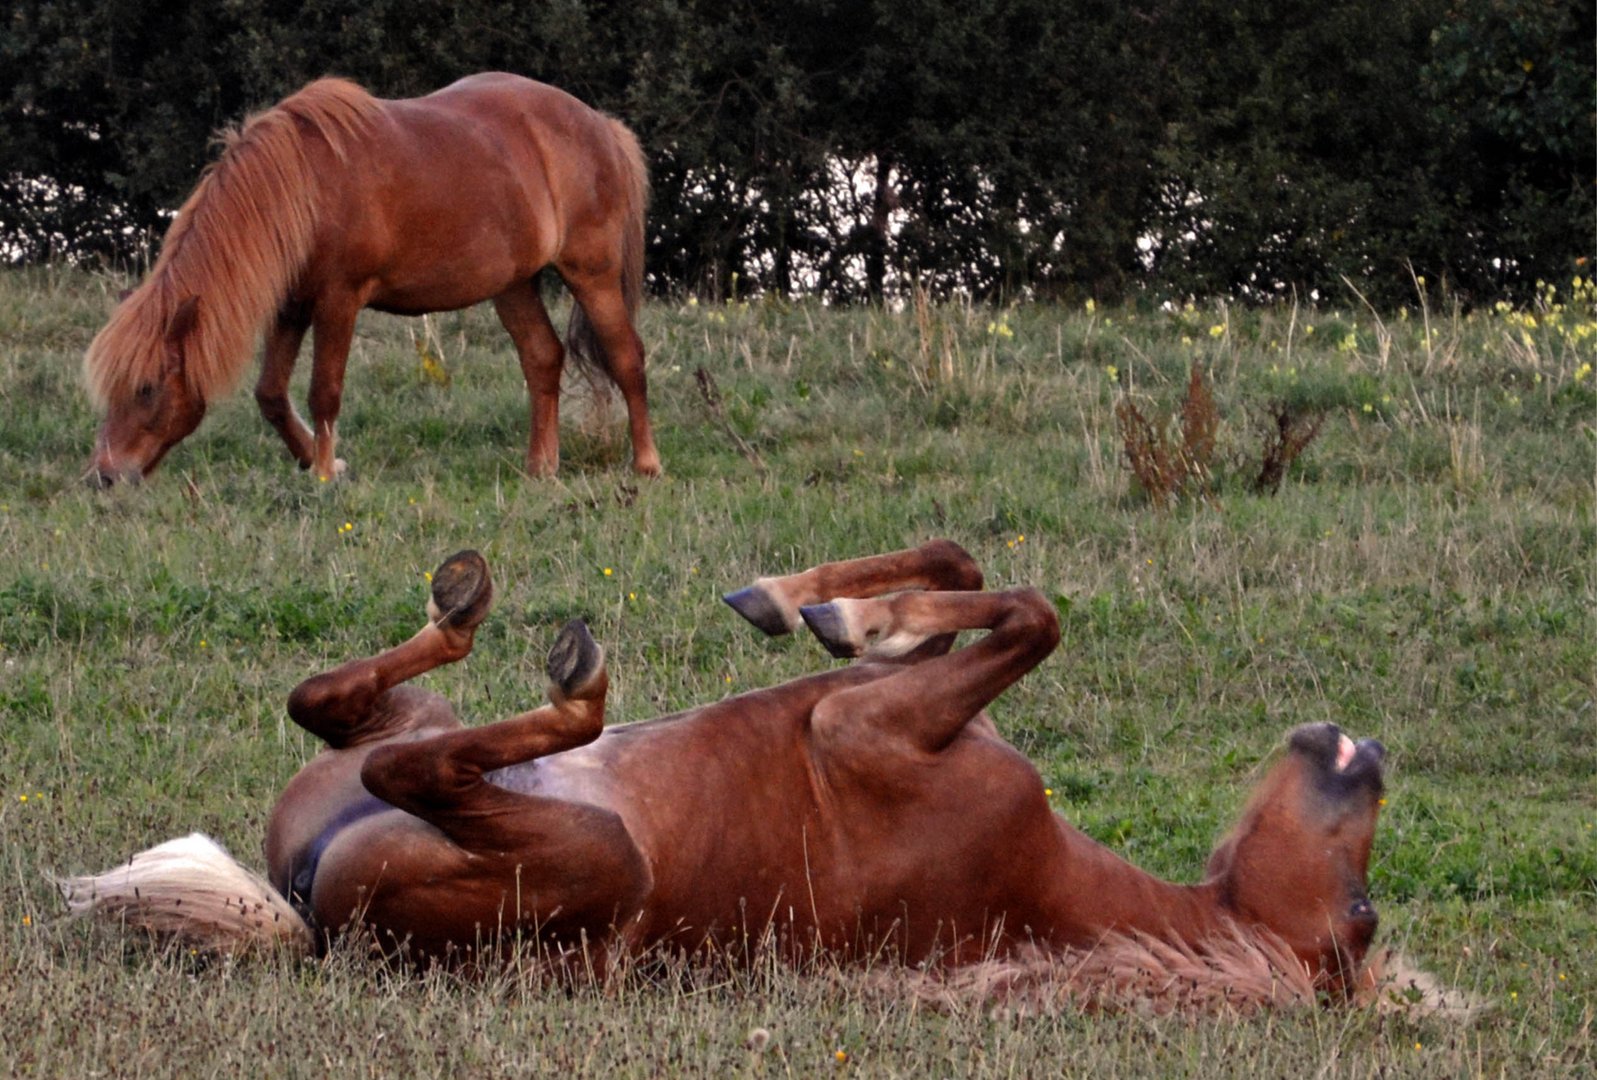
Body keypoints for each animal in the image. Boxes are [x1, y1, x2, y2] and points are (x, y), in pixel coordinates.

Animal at [59, 543, 1398, 1009]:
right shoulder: (890, 710)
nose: (1369, 750)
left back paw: (573, 680)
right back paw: (464, 604)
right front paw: (819, 605)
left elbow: (1031, 610)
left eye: (1362, 918)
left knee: (412, 754)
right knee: (338, 703)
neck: (1039, 877)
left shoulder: (870, 730)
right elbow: (978, 571)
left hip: (590, 852)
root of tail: (307, 923)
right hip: (379, 755)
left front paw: (852, 614)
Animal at [84, 71, 657, 485]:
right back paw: (541, 467)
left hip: (592, 272)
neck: (302, 188)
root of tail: (601, 125)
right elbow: (271, 394)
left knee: (626, 357)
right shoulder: (291, 306)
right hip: (512, 285)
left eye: (147, 389)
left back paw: (646, 464)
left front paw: (322, 474)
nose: (104, 476)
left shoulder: (339, 300)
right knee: (542, 357)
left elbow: (324, 392)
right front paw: (318, 461)